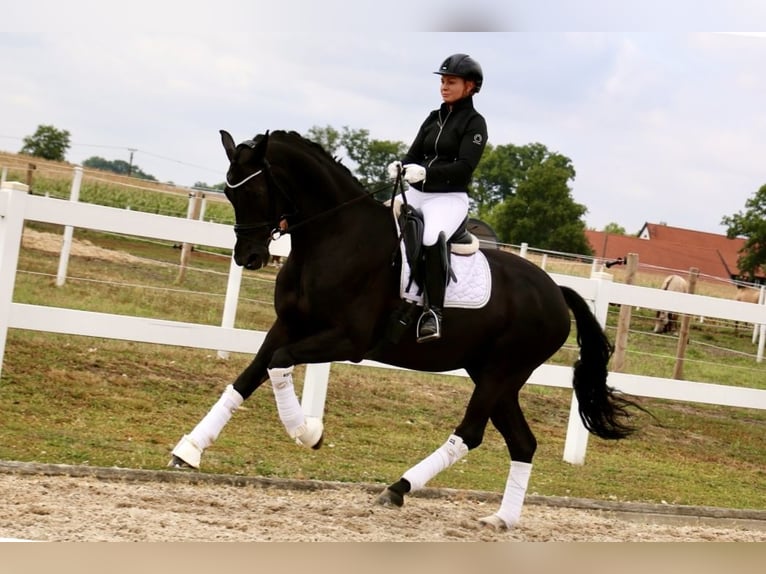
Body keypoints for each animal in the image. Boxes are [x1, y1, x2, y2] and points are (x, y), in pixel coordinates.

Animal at [168, 129, 641, 530]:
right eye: (230, 190)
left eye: (253, 190)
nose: (248, 257)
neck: (333, 236)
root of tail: (556, 291)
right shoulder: (287, 326)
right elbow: (249, 376)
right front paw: (188, 450)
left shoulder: (347, 339)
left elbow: (279, 365)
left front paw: (308, 432)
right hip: (494, 375)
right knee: (522, 443)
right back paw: (500, 519)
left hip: (501, 373)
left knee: (471, 434)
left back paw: (398, 489)